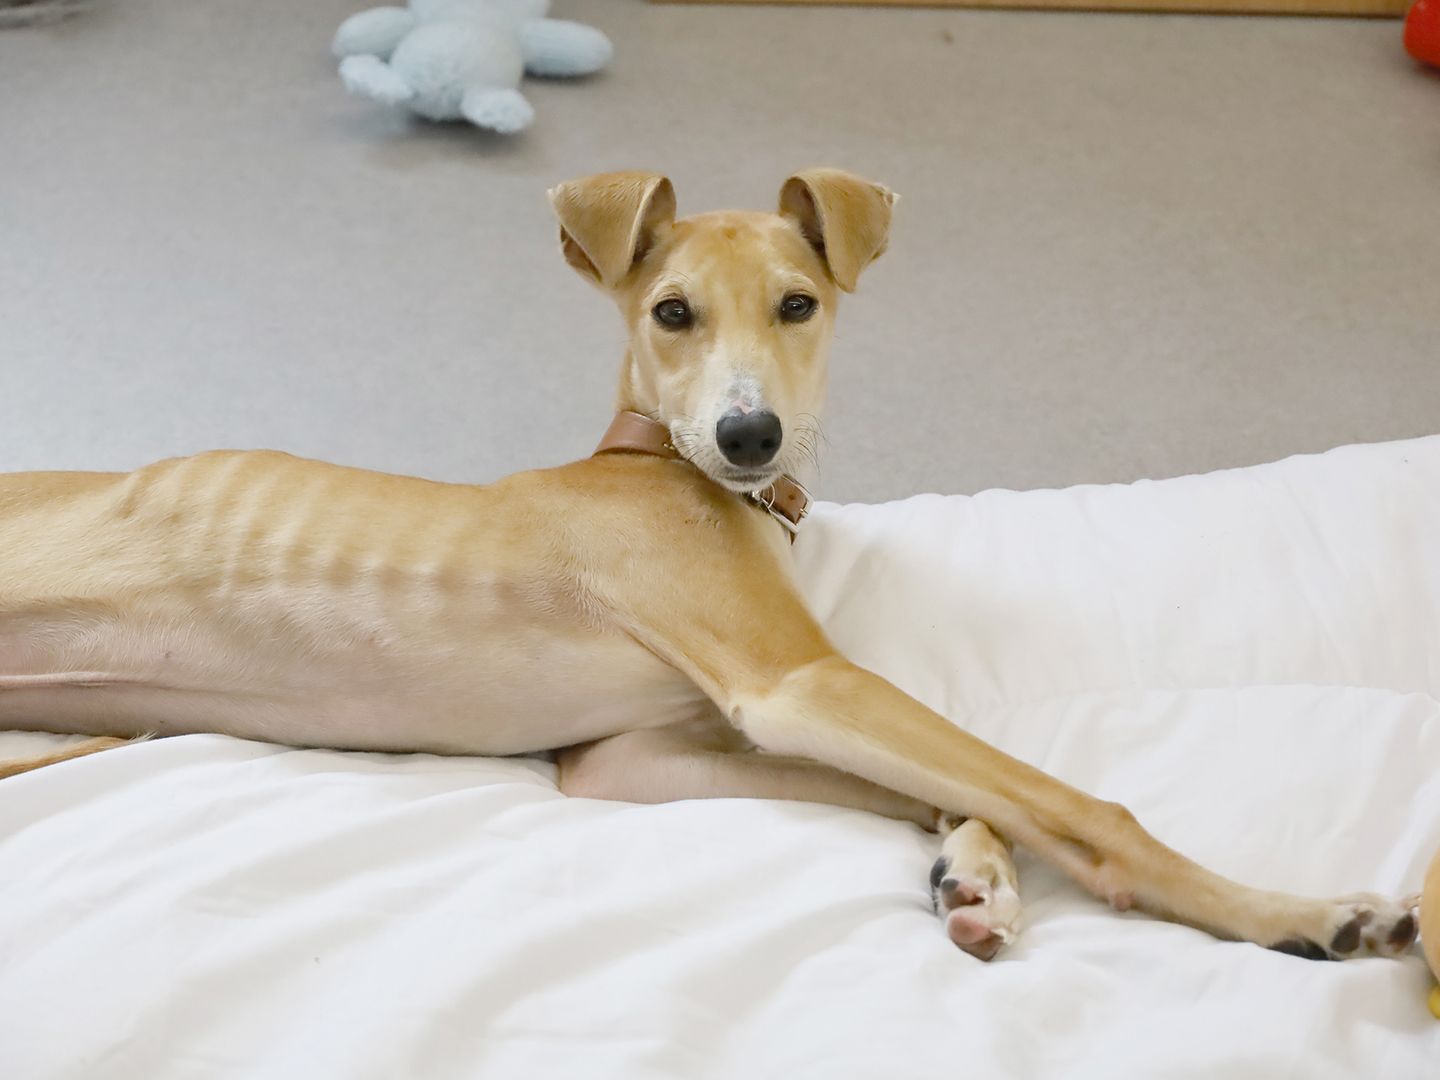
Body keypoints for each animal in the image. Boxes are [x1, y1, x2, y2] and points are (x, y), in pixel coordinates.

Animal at [0, 173, 1416, 967]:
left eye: (800, 303)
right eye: (669, 313)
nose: (751, 440)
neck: (663, 468)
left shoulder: (631, 757)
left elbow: (958, 795)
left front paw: (976, 880)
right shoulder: (794, 682)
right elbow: (1077, 802)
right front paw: (1303, 913)